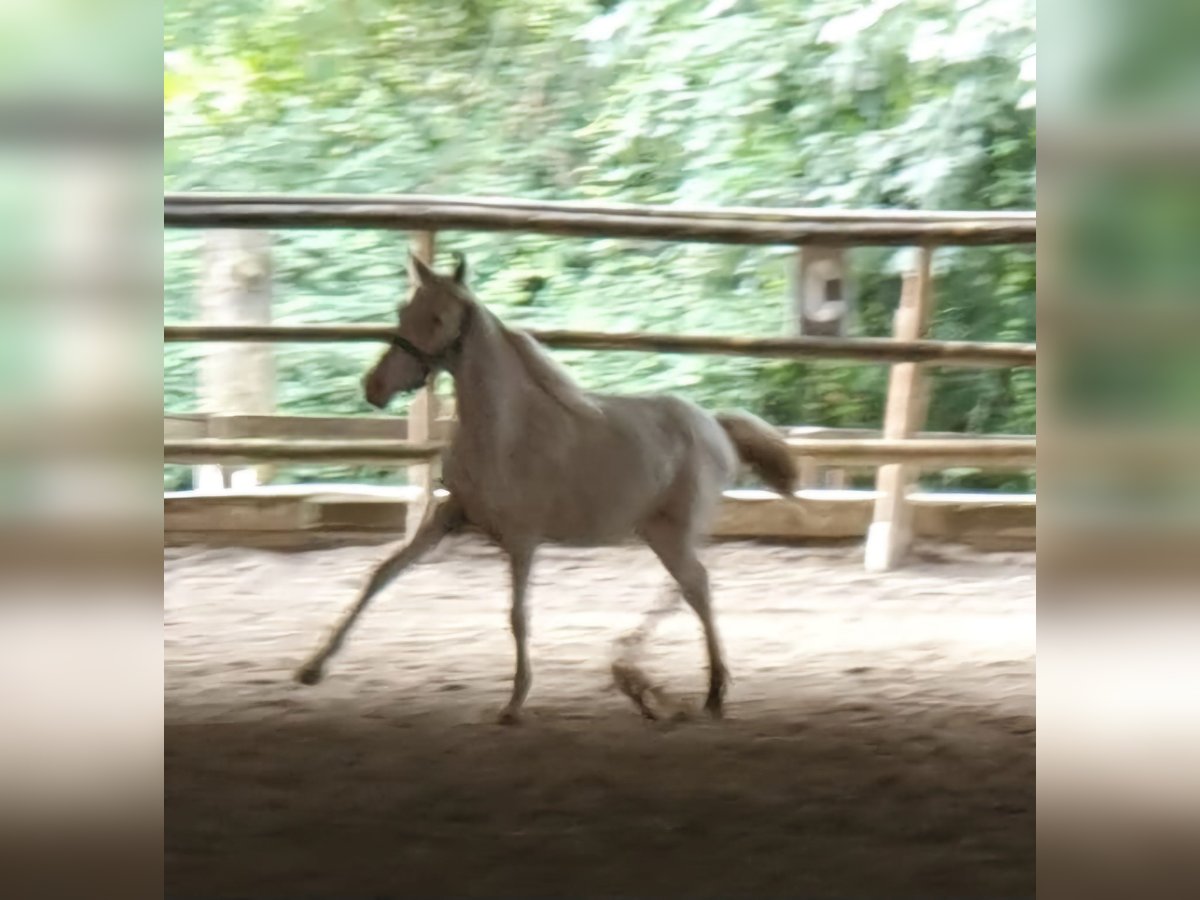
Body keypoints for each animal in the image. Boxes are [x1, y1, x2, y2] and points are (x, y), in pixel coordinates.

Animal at [292, 254, 796, 724]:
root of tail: (716, 425)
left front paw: (514, 704)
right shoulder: (449, 514)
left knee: (697, 587)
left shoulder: (521, 538)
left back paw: (702, 692)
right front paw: (311, 668)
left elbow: (517, 616)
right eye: (403, 309)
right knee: (687, 587)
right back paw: (640, 679)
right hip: (658, 531)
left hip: (672, 529)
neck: (505, 430)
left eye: (436, 318)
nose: (374, 387)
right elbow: (382, 573)